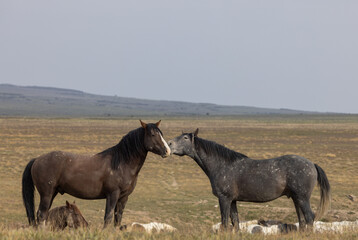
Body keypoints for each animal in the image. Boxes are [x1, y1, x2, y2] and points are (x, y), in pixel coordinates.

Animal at [22, 121, 171, 228]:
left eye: (161, 134)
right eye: (153, 135)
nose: (167, 151)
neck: (121, 162)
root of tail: (37, 159)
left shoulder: (123, 197)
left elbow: (117, 219)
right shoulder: (112, 195)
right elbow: (108, 217)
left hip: (52, 193)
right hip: (46, 194)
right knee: (41, 215)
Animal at [169, 129, 332, 232]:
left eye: (185, 138)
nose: (169, 144)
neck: (222, 165)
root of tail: (312, 164)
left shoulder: (224, 199)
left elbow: (225, 222)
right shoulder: (233, 201)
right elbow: (235, 222)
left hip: (302, 198)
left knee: (309, 218)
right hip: (296, 198)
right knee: (302, 220)